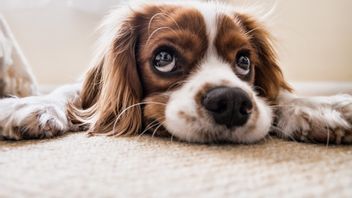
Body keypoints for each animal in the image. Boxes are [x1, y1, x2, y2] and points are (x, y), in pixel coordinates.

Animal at [0, 0, 352, 145]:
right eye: (164, 58)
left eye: (244, 61)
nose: (231, 102)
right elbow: (69, 93)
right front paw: (29, 106)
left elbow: (278, 95)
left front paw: (320, 107)